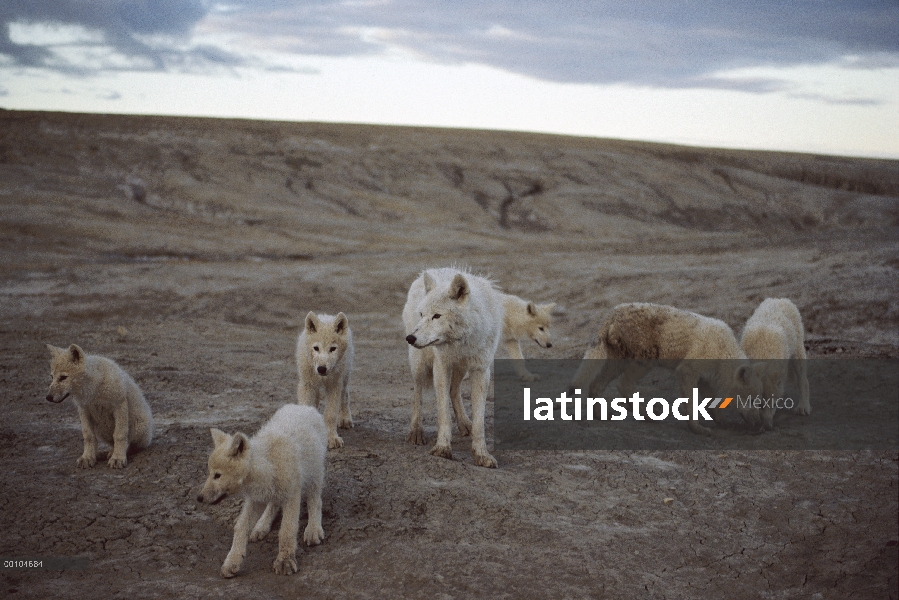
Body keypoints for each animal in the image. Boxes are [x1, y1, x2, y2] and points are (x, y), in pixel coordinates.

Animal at [195, 404, 328, 576]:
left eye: (217, 475)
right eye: (210, 473)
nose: (199, 498)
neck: (267, 464)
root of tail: (303, 406)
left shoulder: (292, 495)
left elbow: (287, 530)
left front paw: (285, 561)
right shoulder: (255, 499)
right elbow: (240, 527)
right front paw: (232, 562)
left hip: (314, 474)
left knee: (315, 500)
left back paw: (313, 529)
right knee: (273, 504)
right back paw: (261, 526)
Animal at [294, 312, 354, 448]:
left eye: (333, 349)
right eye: (316, 348)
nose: (321, 369)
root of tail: (327, 316)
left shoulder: (334, 386)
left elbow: (330, 415)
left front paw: (332, 438)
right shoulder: (307, 385)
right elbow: (306, 408)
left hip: (344, 378)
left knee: (345, 396)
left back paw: (345, 419)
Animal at [402, 268, 502, 468]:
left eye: (437, 316)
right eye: (422, 314)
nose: (410, 338)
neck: (460, 341)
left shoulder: (481, 371)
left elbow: (479, 420)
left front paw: (482, 454)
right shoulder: (441, 366)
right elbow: (443, 413)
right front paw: (442, 449)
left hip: (461, 369)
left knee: (454, 391)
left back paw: (465, 424)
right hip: (420, 365)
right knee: (417, 394)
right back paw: (416, 431)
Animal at [568, 302, 768, 434]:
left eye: (759, 401)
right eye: (751, 399)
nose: (760, 426)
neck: (723, 351)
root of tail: (612, 313)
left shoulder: (704, 376)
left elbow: (710, 402)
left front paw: (723, 422)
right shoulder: (688, 370)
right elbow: (692, 402)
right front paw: (698, 428)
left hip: (619, 360)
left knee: (597, 384)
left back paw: (601, 415)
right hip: (645, 359)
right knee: (623, 385)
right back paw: (648, 416)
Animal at [740, 298, 812, 428]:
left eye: (774, 405)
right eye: (759, 404)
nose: (768, 427)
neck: (762, 353)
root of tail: (780, 299)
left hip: (797, 354)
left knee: (803, 380)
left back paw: (803, 407)